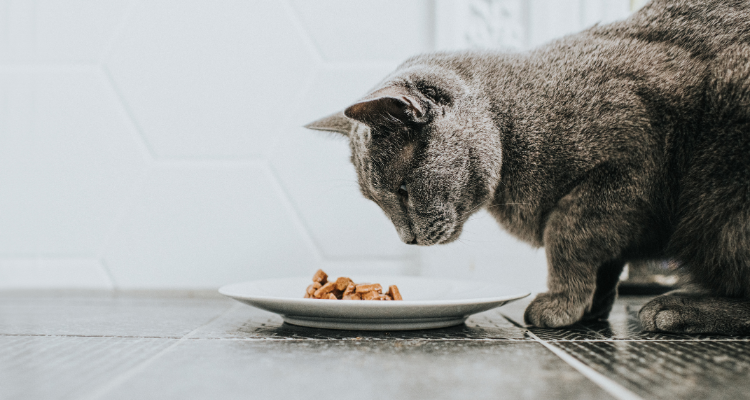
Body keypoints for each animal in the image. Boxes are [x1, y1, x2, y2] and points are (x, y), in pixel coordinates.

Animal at [306, 0, 750, 336]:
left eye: (402, 189)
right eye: (375, 200)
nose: (407, 241)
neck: (512, 128)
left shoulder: (631, 157)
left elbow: (567, 232)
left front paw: (561, 302)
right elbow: (605, 259)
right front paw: (589, 307)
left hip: (721, 194)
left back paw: (678, 308)